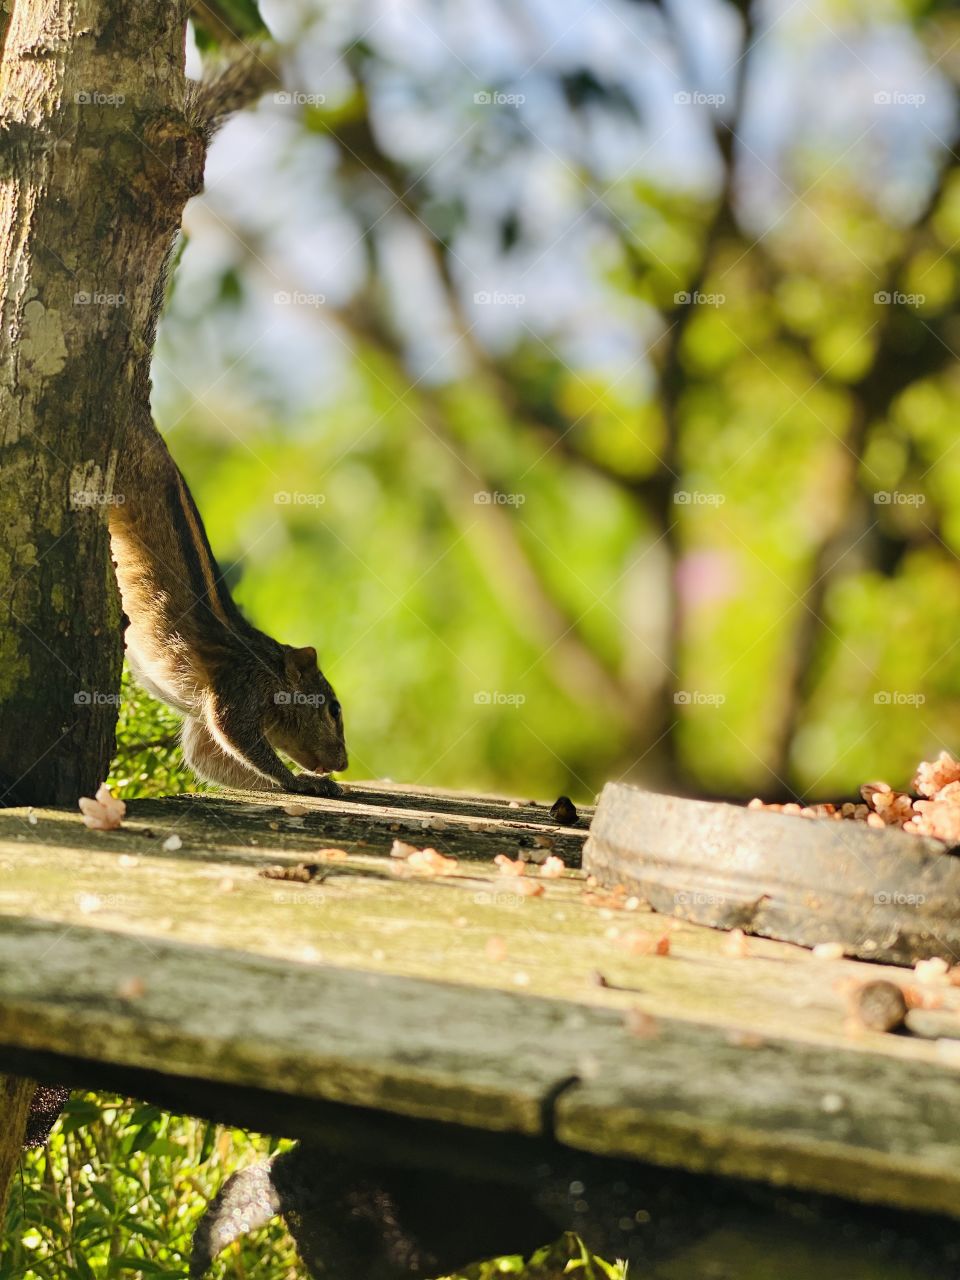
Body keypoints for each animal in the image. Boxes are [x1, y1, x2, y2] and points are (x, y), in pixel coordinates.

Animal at [108, 409, 347, 797]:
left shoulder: (203, 726)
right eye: (333, 709)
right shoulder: (239, 691)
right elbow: (237, 734)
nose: (344, 764)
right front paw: (297, 781)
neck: (267, 666)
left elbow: (208, 759)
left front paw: (316, 783)